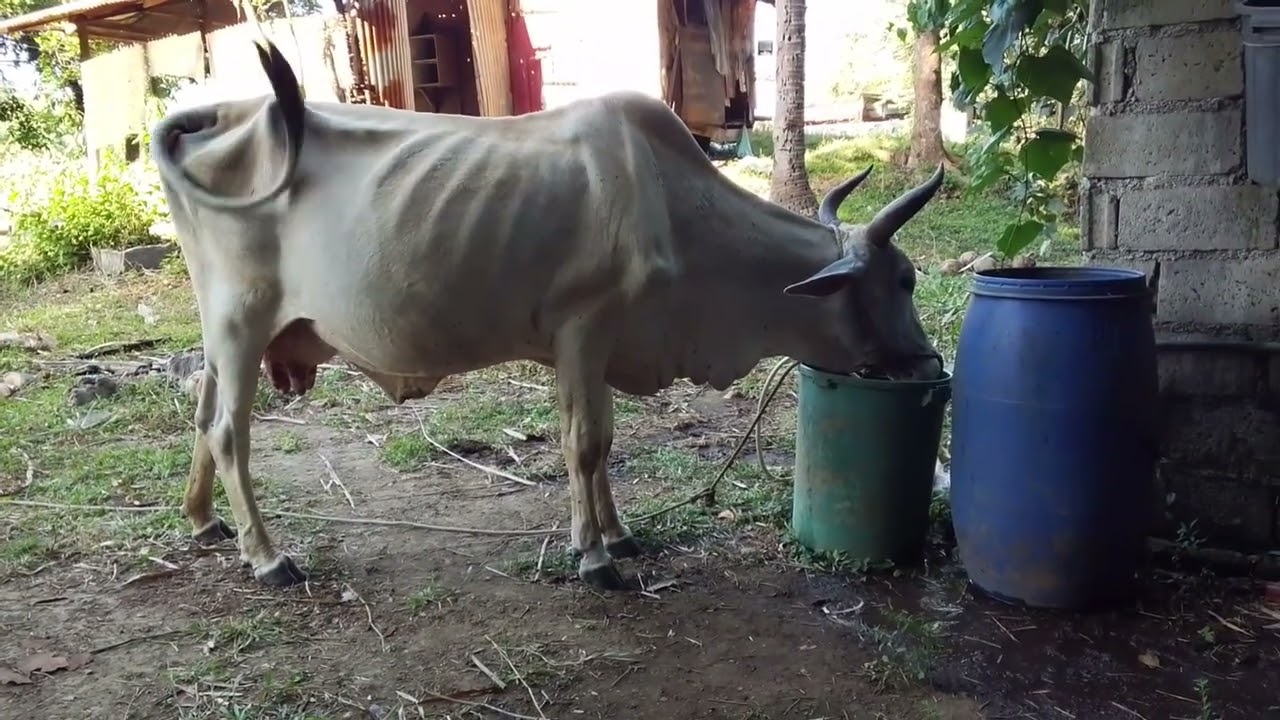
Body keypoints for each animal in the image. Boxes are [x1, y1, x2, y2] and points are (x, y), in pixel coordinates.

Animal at [150, 40, 946, 591]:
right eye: (904, 279)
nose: (929, 363)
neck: (677, 215)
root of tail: (220, 112)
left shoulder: (600, 345)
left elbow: (604, 442)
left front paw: (618, 535)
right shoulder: (583, 330)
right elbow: (584, 445)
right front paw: (594, 557)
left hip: (224, 330)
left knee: (202, 414)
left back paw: (204, 521)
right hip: (242, 320)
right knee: (227, 433)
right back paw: (267, 556)